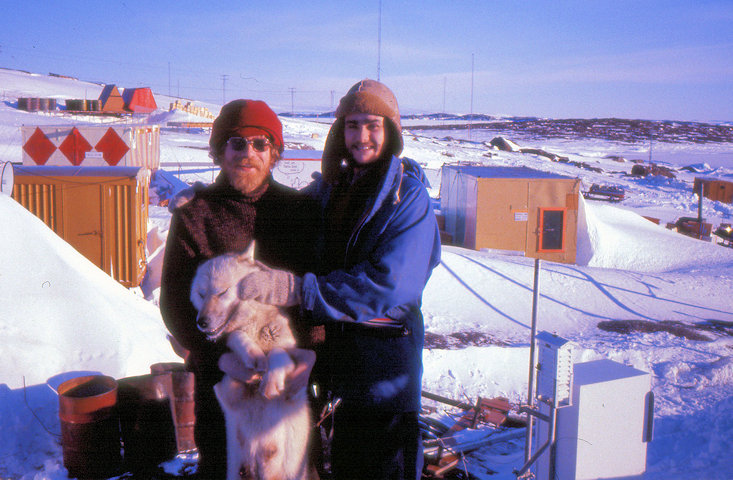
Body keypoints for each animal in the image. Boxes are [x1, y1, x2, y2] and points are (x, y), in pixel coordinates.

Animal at [189, 244, 312, 480]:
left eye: (222, 292)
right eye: (201, 294)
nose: (201, 322)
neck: (254, 326)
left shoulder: (293, 385)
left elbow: (278, 353)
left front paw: (271, 380)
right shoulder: (229, 389)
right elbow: (236, 337)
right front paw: (252, 354)